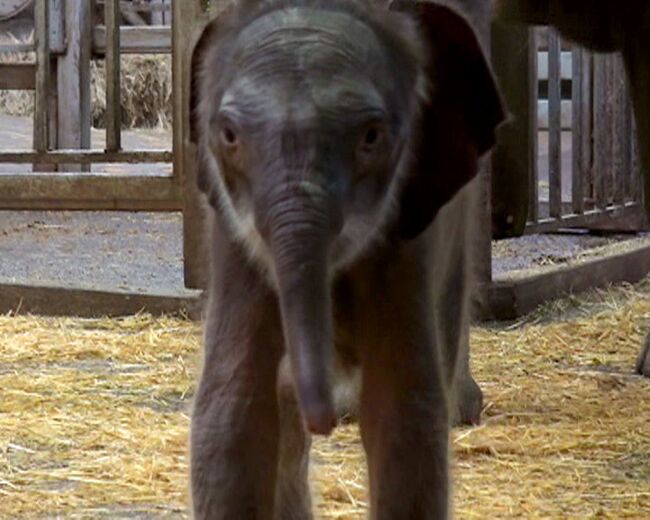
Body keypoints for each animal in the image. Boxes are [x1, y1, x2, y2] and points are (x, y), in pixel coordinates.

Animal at [187, 0, 502, 516]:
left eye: (371, 137)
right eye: (229, 135)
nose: (326, 421)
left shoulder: (412, 230)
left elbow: (403, 412)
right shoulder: (231, 234)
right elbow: (232, 406)